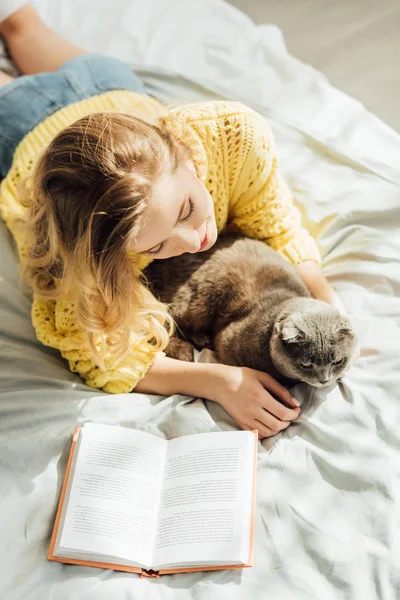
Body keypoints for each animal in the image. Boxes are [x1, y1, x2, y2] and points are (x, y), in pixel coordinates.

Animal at [145, 234, 358, 390]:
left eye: (338, 361)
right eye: (306, 365)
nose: (324, 380)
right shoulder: (226, 343)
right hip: (196, 299)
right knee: (164, 324)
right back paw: (192, 344)